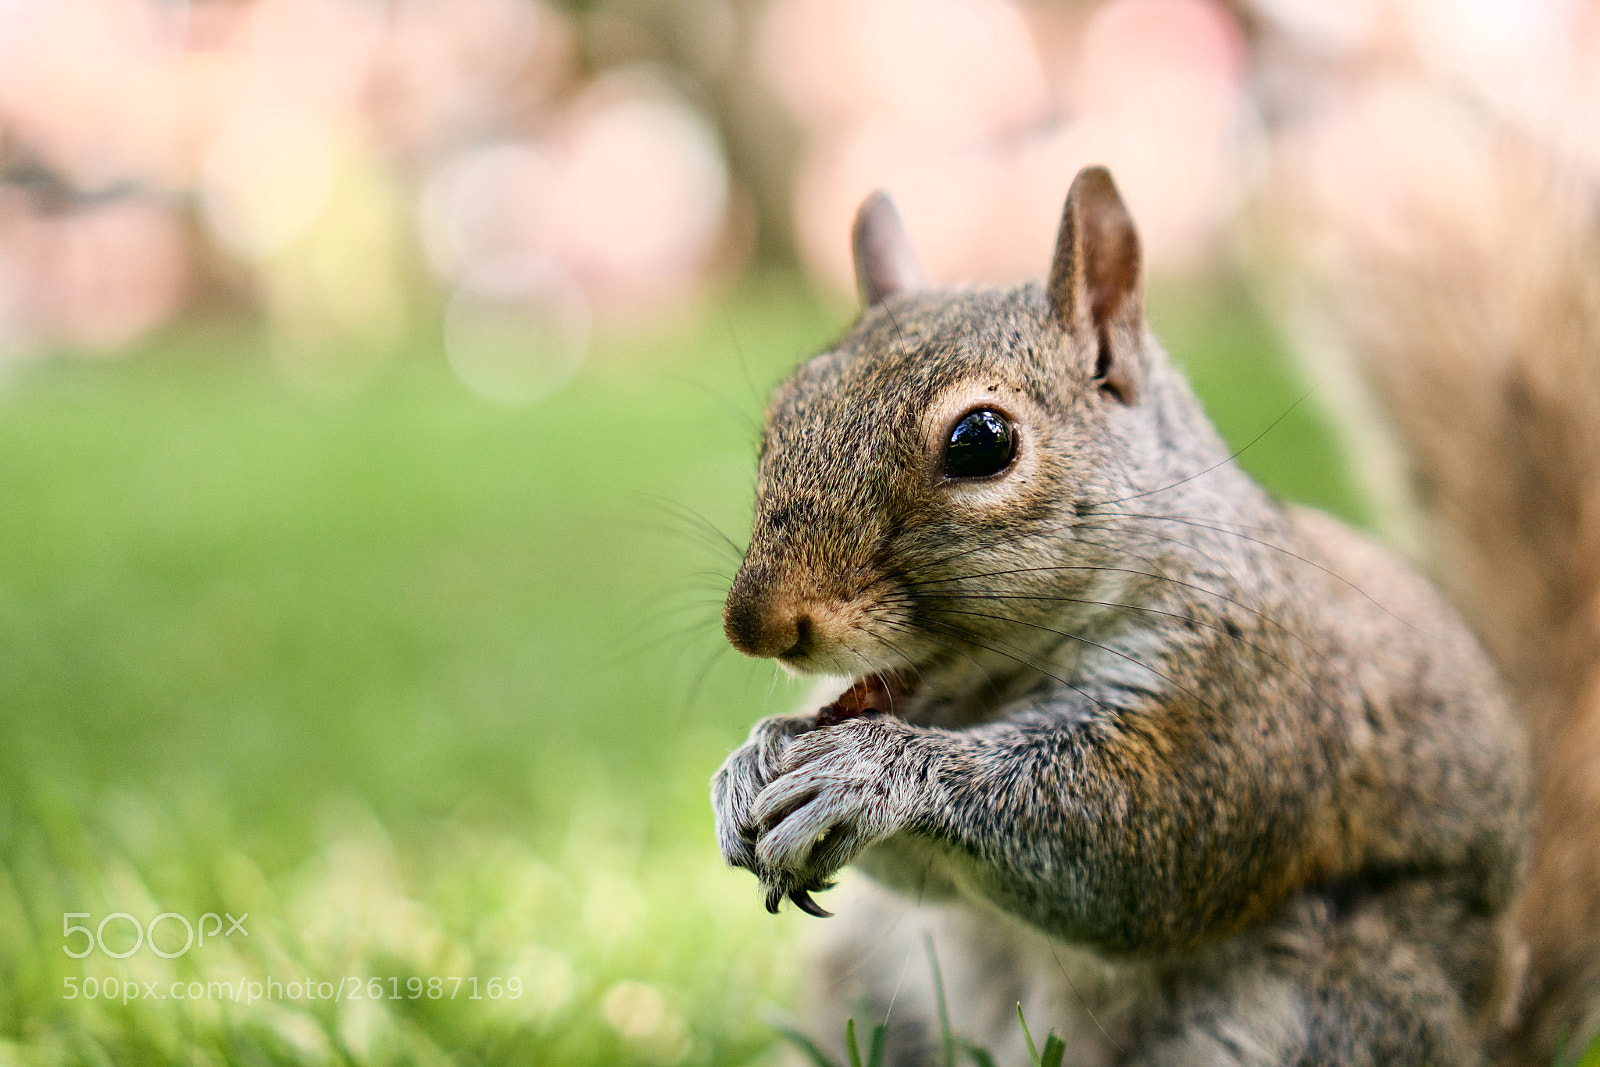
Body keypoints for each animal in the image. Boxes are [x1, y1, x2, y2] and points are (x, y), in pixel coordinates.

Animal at [709, 163, 1598, 1065]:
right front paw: (752, 762)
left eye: (981, 440)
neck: (994, 692)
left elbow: (1138, 851)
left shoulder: (1244, 698)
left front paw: (871, 770)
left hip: (1335, 998)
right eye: (784, 411)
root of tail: (1492, 1027)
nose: (758, 623)